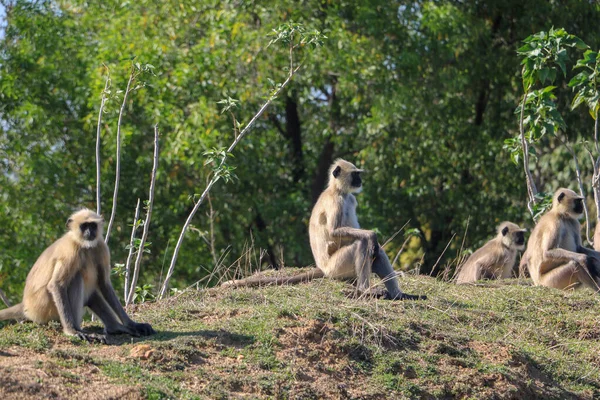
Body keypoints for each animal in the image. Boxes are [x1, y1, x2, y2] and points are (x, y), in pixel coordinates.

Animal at [0, 208, 155, 342]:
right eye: (84, 226)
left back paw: (115, 328)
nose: (89, 232)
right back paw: (79, 329)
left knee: (92, 293)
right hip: (43, 308)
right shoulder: (71, 250)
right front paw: (71, 331)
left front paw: (132, 324)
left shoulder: (101, 247)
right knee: (76, 278)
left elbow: (104, 284)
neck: (84, 245)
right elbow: (56, 285)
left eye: (92, 225)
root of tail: (26, 305)